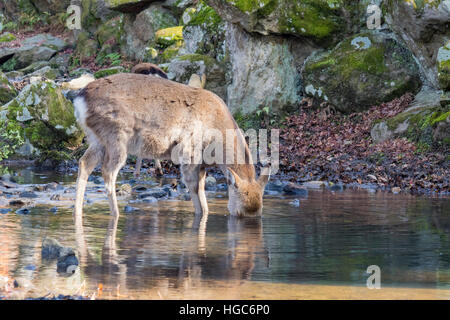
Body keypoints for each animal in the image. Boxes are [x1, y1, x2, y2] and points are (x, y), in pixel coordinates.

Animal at [74, 73, 270, 224]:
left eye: (259, 213)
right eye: (239, 212)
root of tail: (79, 100)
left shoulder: (202, 164)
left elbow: (201, 190)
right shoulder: (189, 152)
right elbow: (195, 191)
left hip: (97, 138)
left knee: (84, 163)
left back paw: (77, 210)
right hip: (116, 136)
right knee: (107, 172)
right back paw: (115, 214)